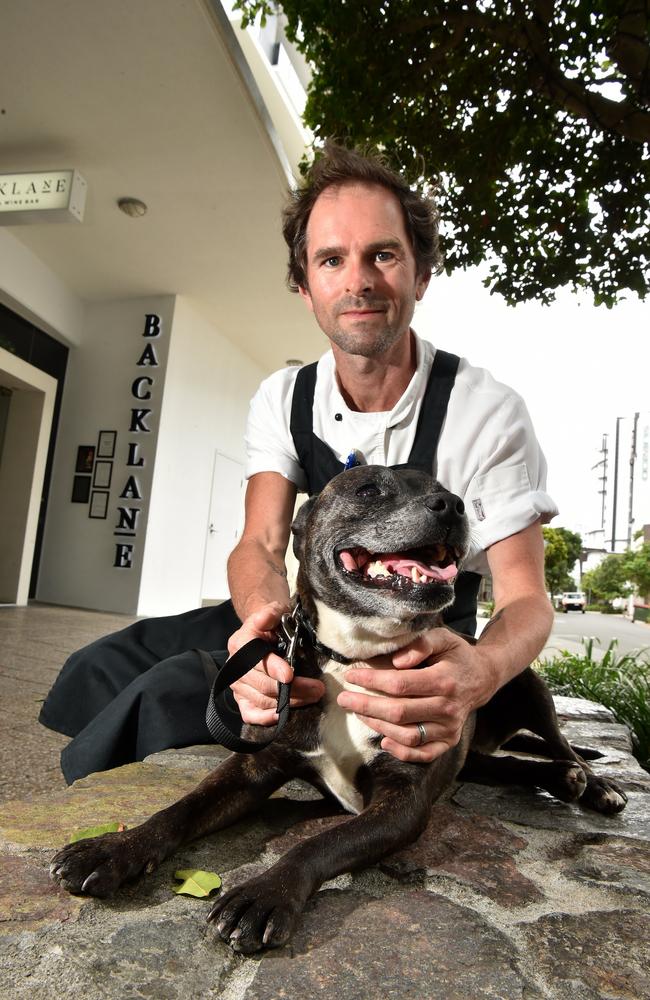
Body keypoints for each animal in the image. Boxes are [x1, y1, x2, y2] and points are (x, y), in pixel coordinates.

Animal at [48, 468, 624, 952]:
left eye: (446, 489)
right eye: (368, 489)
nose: (455, 505)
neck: (352, 657)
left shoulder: (401, 803)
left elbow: (320, 843)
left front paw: (265, 893)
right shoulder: (254, 767)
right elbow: (181, 808)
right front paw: (111, 849)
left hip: (530, 687)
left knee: (564, 744)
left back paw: (595, 785)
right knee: (502, 764)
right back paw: (559, 779)